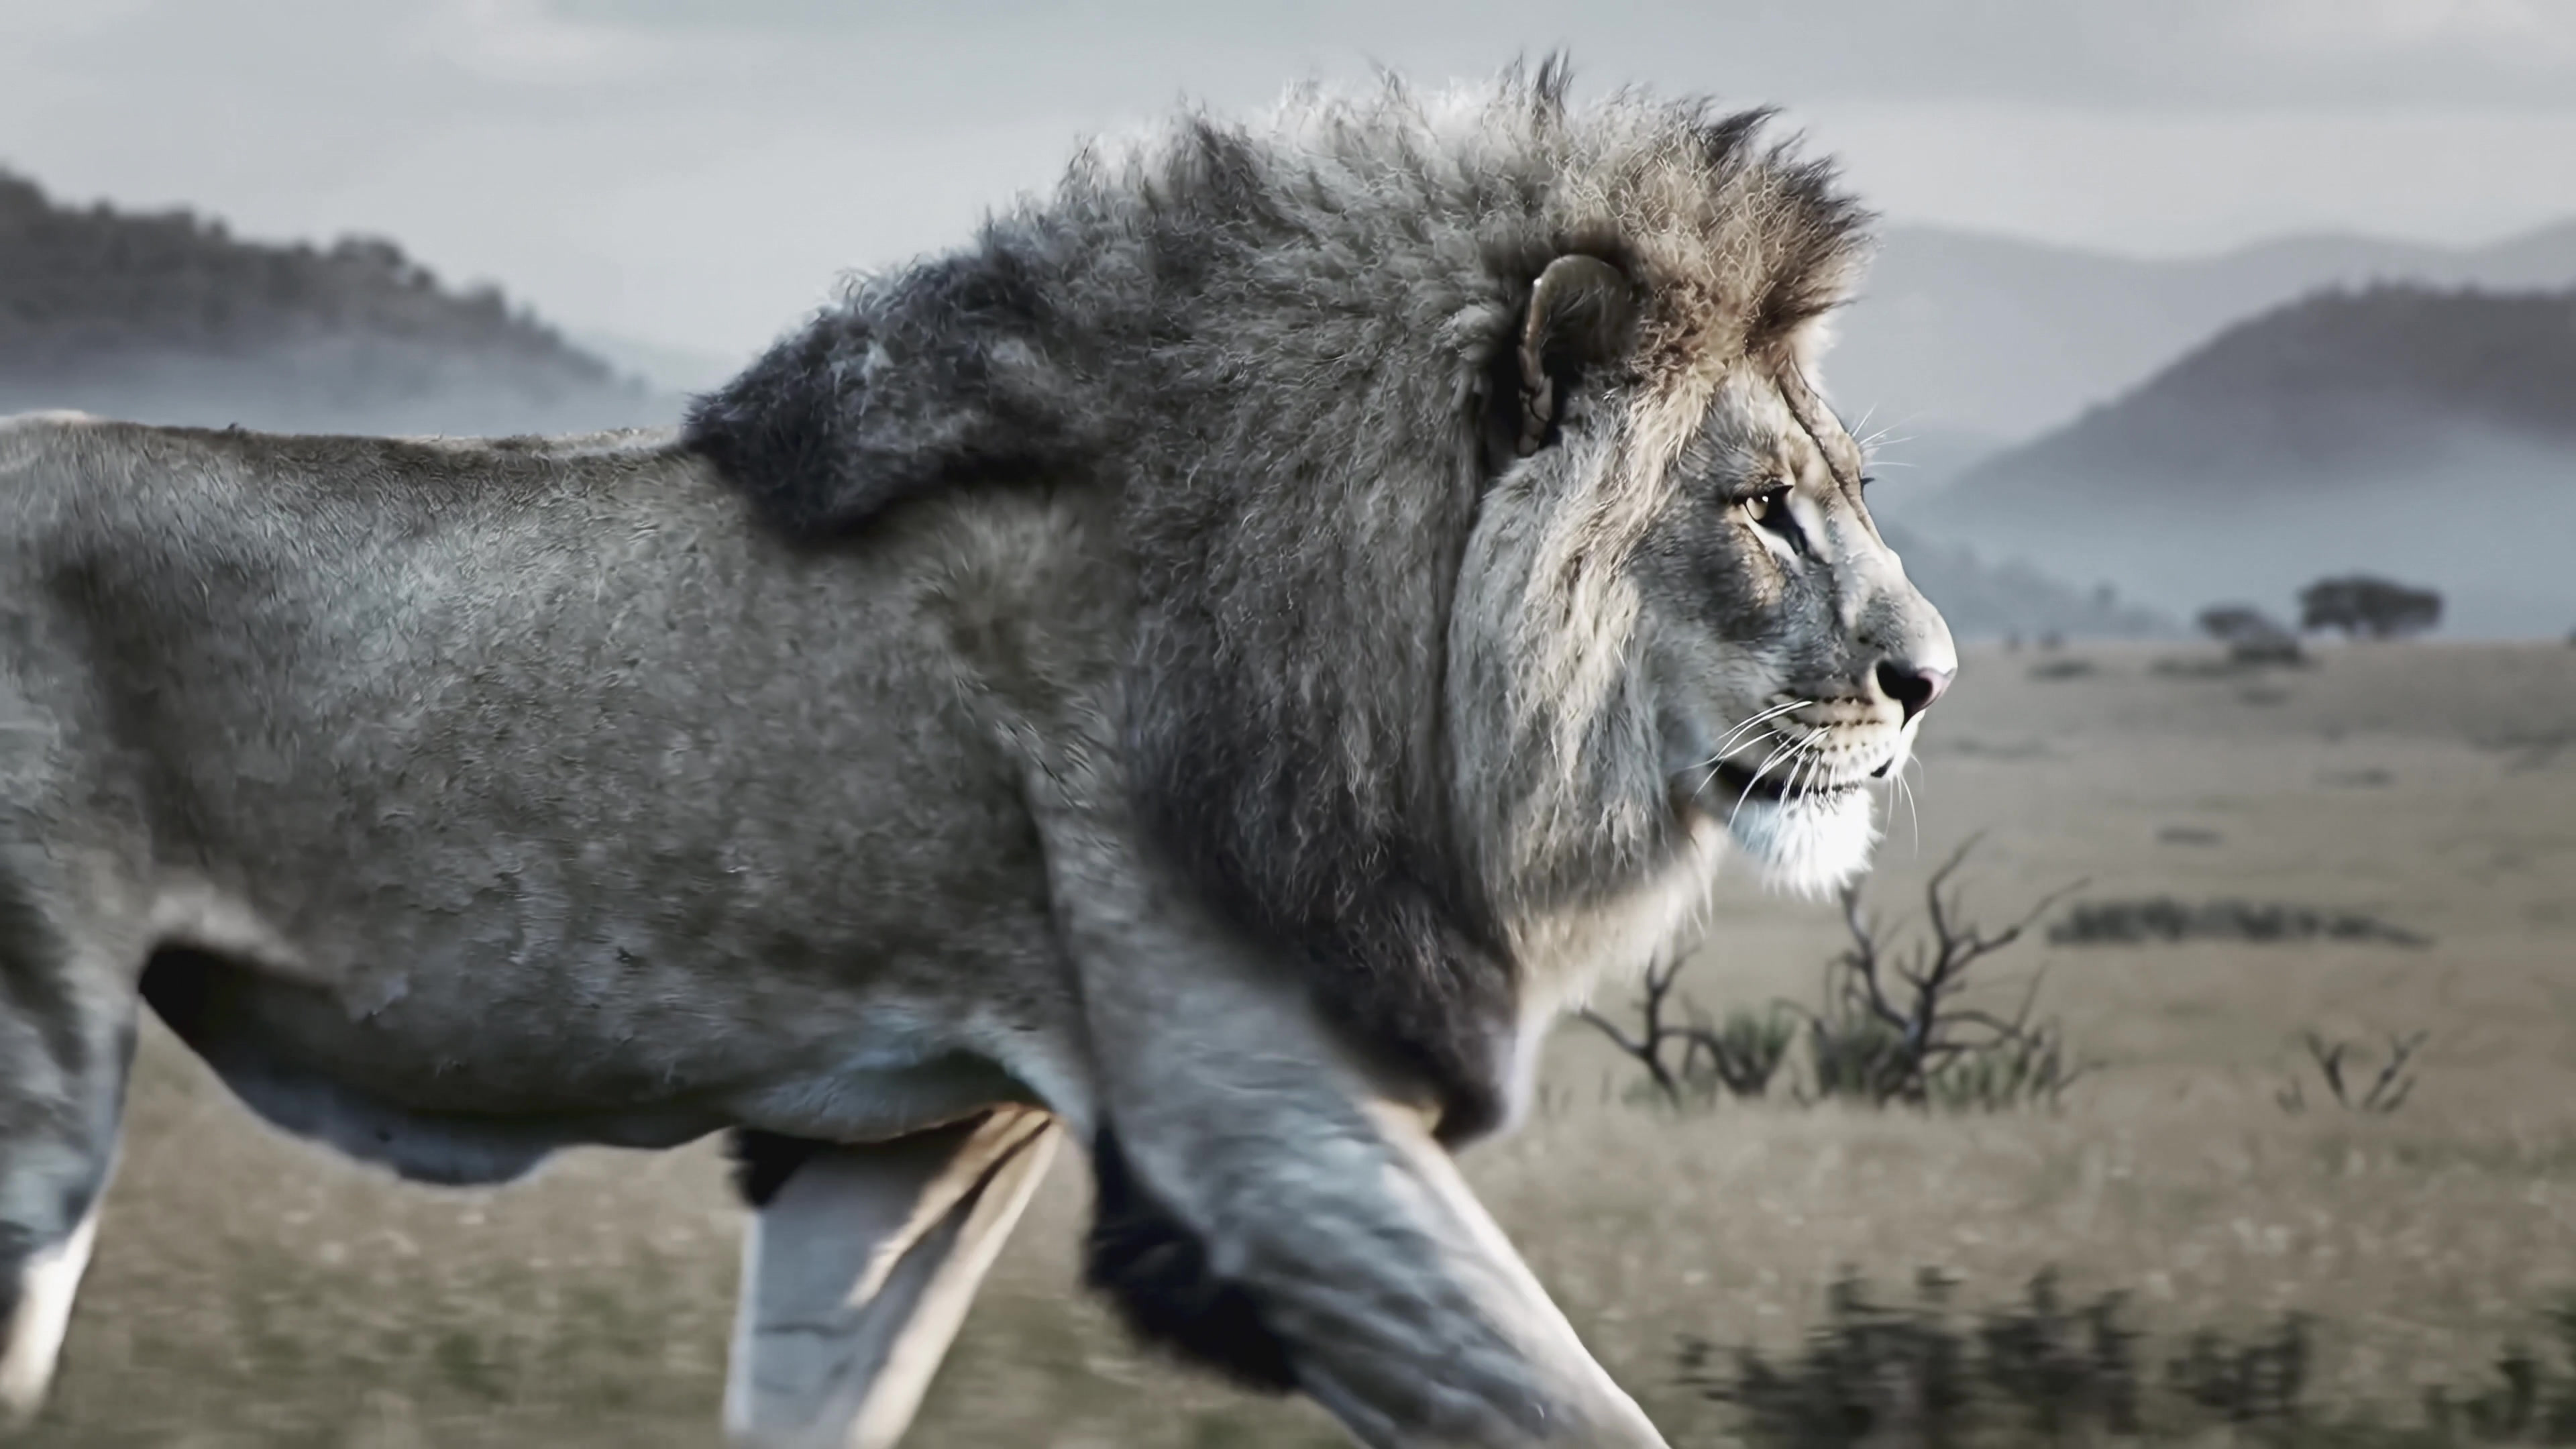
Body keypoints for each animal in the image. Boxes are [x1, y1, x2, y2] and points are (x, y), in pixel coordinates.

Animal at [0, 63, 1953, 1448]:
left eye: (1847, 489)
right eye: (1762, 508)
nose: (1928, 677)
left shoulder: (911, 1148)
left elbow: (820, 1385)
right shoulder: (1265, 1139)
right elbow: (1566, 1411)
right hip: (36, 1081)